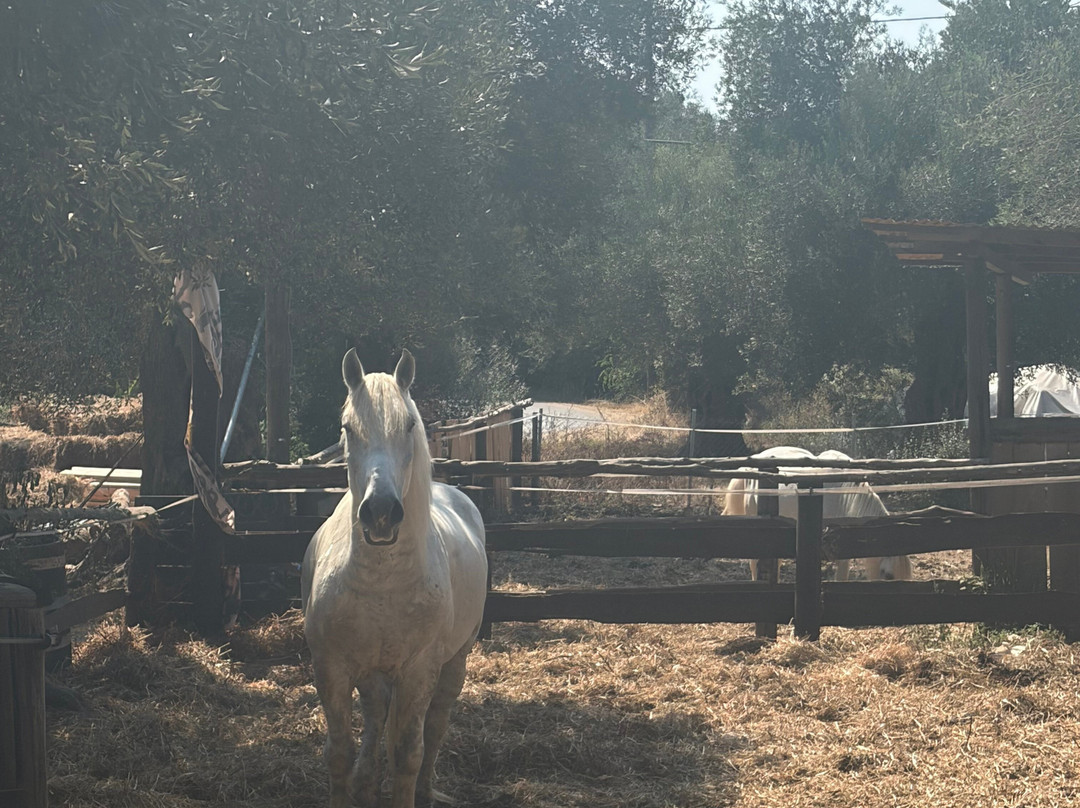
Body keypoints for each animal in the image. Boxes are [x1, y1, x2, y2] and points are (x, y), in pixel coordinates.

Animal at [302, 349, 488, 808]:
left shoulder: (419, 671)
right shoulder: (331, 668)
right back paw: (366, 781)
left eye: (409, 426)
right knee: (374, 720)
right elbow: (339, 752)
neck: (382, 583)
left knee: (435, 729)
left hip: (455, 663)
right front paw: (353, 783)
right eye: (348, 427)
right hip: (374, 675)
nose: (381, 512)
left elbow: (408, 753)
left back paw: (424, 790)